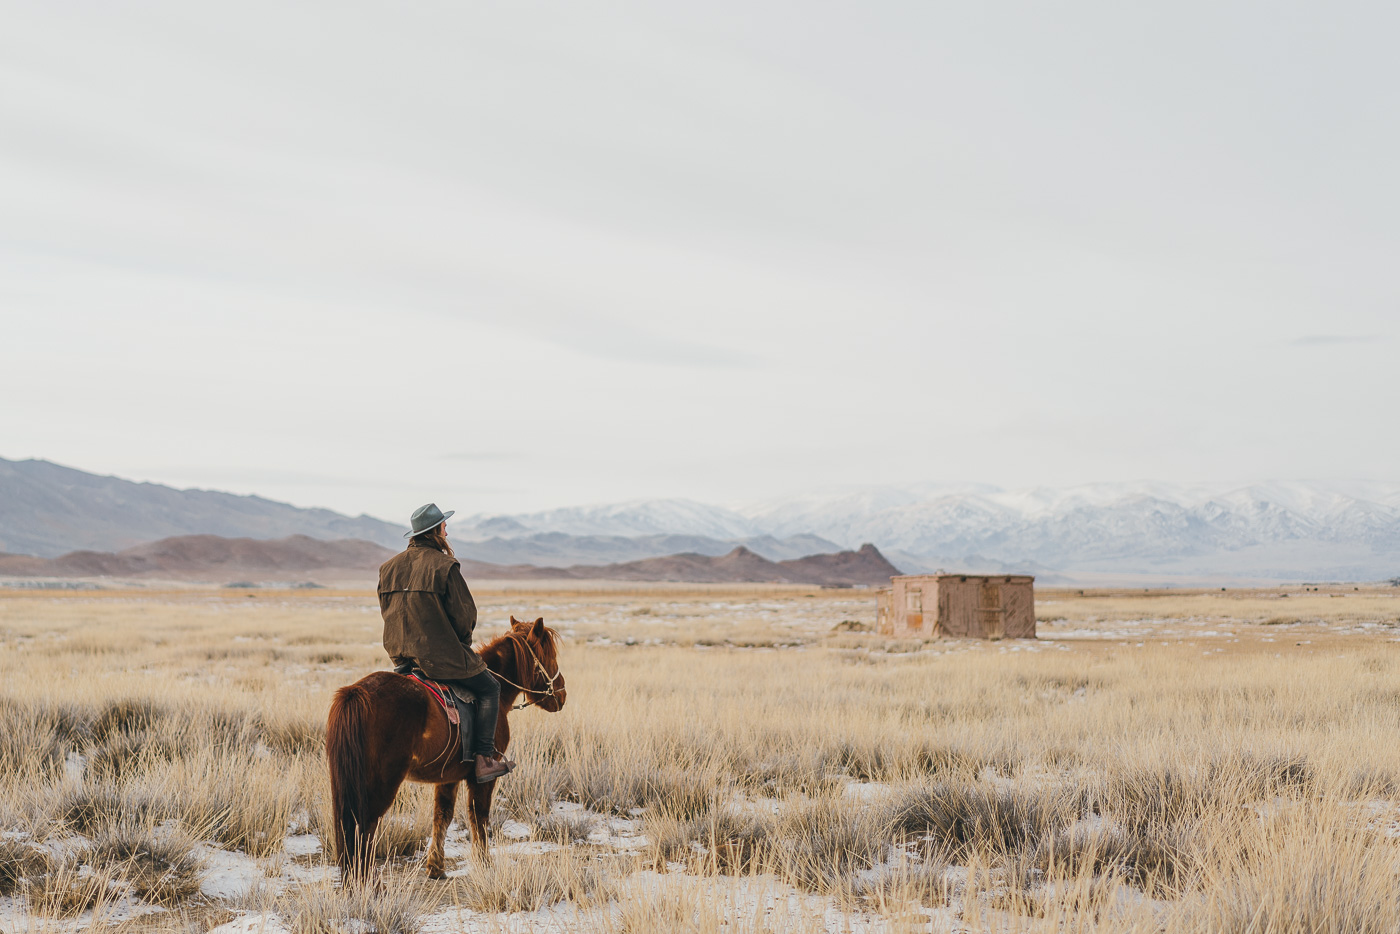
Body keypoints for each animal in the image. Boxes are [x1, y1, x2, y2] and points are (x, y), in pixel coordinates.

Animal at [326, 616, 562, 879]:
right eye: (549, 655)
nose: (561, 694)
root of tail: (357, 692)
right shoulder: (483, 778)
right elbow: (479, 816)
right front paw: (484, 864)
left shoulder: (448, 776)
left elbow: (442, 816)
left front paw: (436, 867)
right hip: (380, 784)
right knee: (365, 828)